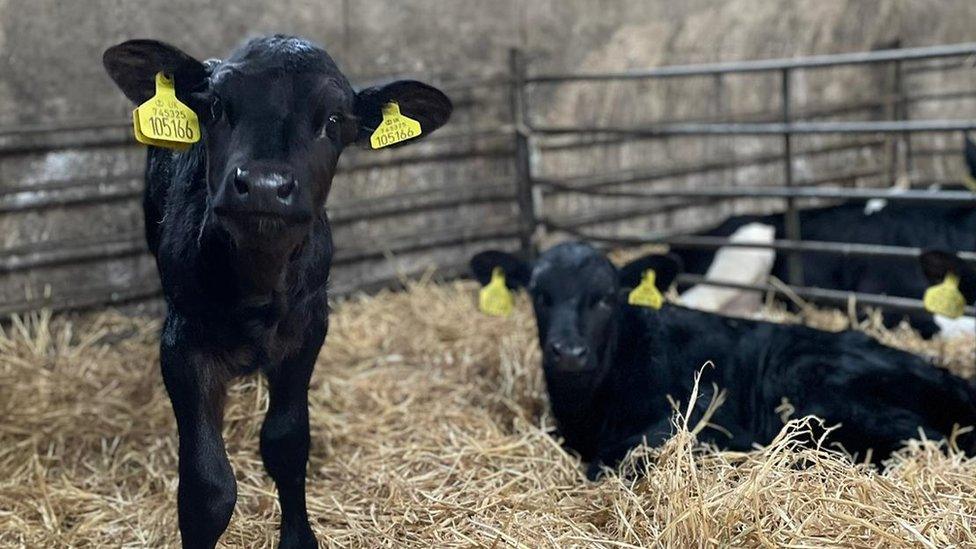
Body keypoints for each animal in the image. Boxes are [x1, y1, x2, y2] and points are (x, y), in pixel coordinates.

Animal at [101, 36, 452, 544]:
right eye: (217, 106)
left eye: (333, 121)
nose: (266, 186)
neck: (257, 286)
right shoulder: (182, 344)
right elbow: (207, 486)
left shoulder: (307, 331)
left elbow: (286, 444)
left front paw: (299, 539)